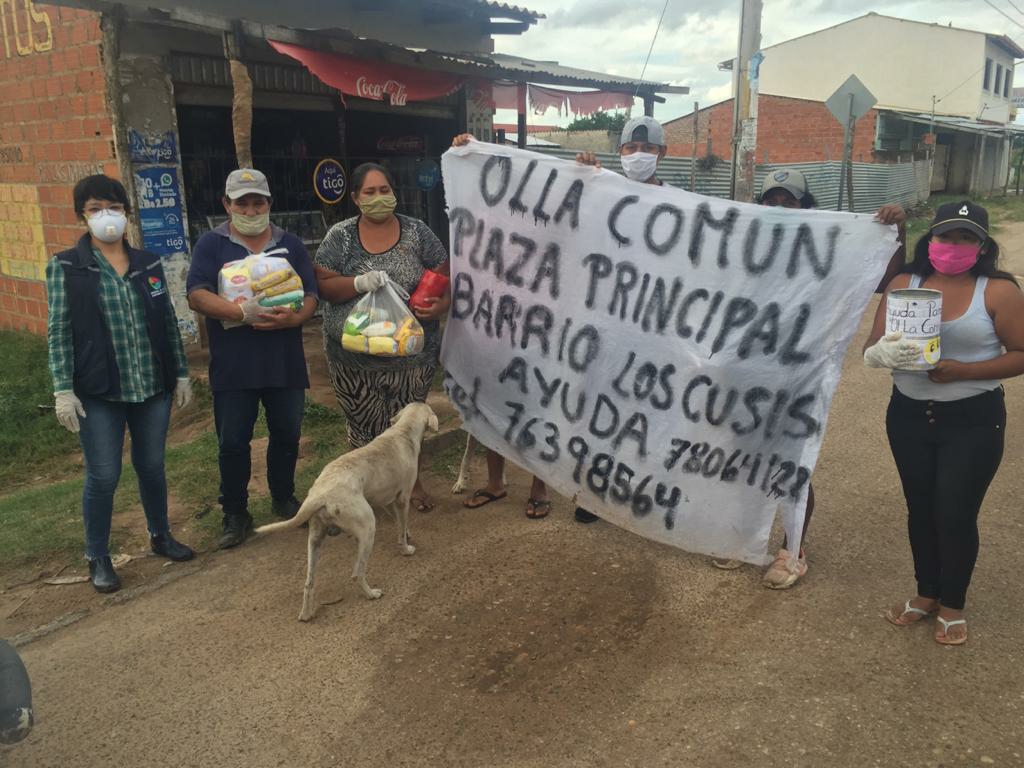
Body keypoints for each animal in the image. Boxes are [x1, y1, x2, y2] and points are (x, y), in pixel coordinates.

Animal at [258, 403, 438, 626]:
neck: (402, 431)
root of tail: (320, 495)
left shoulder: (387, 500)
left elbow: (400, 523)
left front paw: (407, 533)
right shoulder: (403, 498)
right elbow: (402, 526)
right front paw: (406, 548)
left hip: (315, 540)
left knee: (309, 583)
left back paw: (306, 614)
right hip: (368, 528)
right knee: (356, 573)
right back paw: (372, 594)